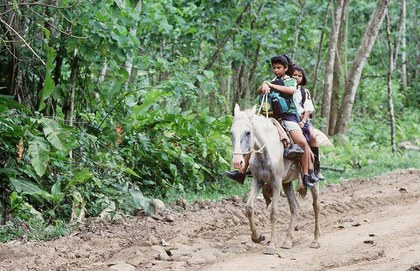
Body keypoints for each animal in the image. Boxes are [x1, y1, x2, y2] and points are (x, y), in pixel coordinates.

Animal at [231, 103, 320, 255]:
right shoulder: (258, 181)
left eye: (248, 132)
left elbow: (273, 212)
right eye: (231, 132)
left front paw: (271, 246)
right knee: (294, 207)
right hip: (287, 183)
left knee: (316, 206)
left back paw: (316, 240)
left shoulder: (276, 183)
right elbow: (249, 207)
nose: (237, 162)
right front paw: (257, 237)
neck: (265, 150)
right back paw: (287, 241)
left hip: (312, 181)